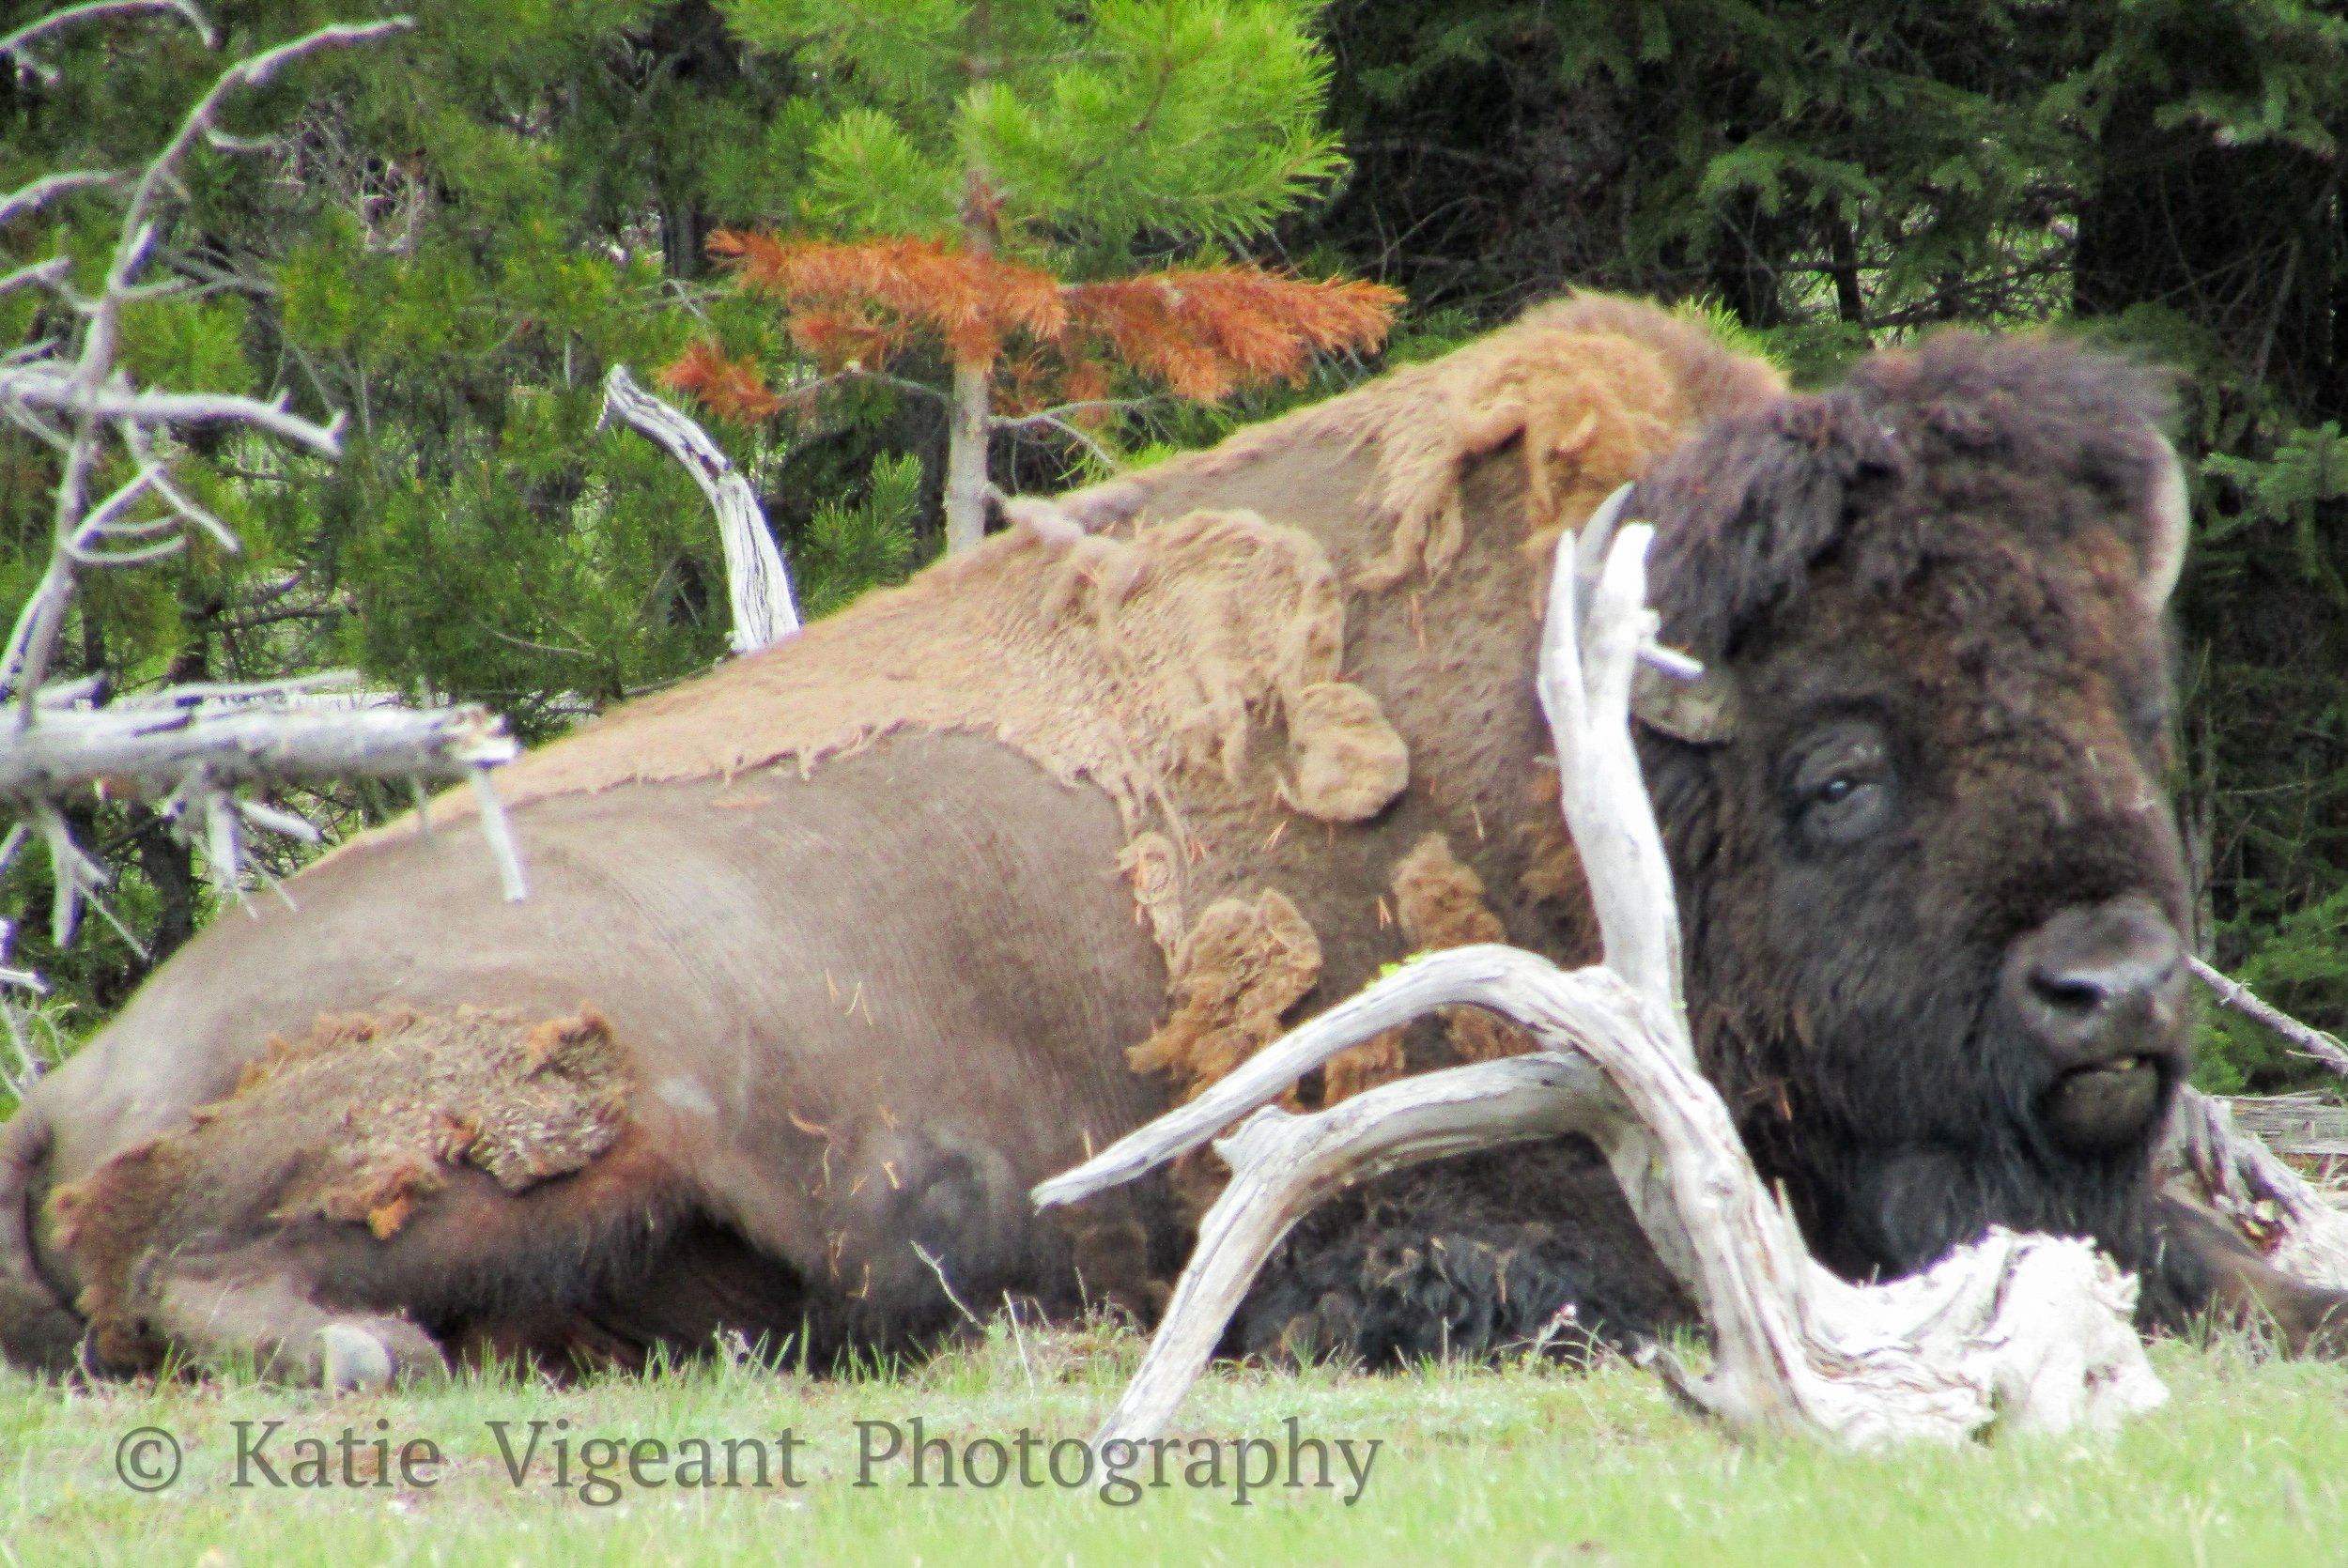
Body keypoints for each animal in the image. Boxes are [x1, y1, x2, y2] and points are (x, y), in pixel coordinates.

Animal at [1, 296, 2333, 1385]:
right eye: (1838, 765)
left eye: (2126, 708)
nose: (2112, 986)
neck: (1596, 767)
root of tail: (74, 1078)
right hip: (549, 1102)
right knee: (195, 1264)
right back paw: (382, 1348)